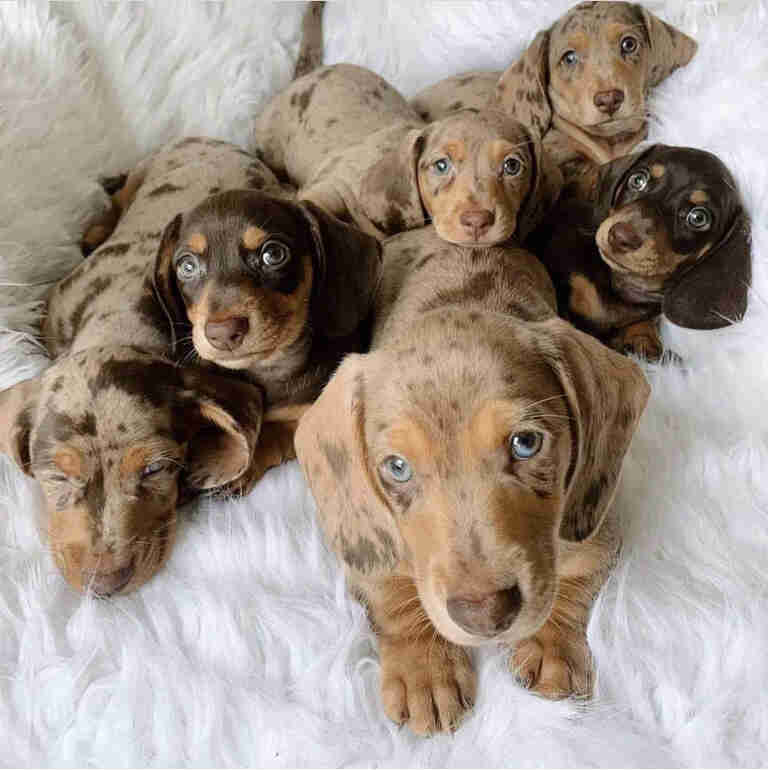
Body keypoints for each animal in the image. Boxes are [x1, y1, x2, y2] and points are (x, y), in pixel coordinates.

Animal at [0, 136, 382, 592]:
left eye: (273, 255)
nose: (104, 586)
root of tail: (207, 139)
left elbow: (274, 432)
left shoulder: (308, 411)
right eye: (186, 266)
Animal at [296, 226, 652, 732]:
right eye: (397, 467)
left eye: (526, 443)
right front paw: (425, 669)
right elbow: (394, 597)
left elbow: (575, 581)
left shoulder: (595, 529)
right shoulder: (372, 547)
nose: (485, 615)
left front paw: (552, 646)